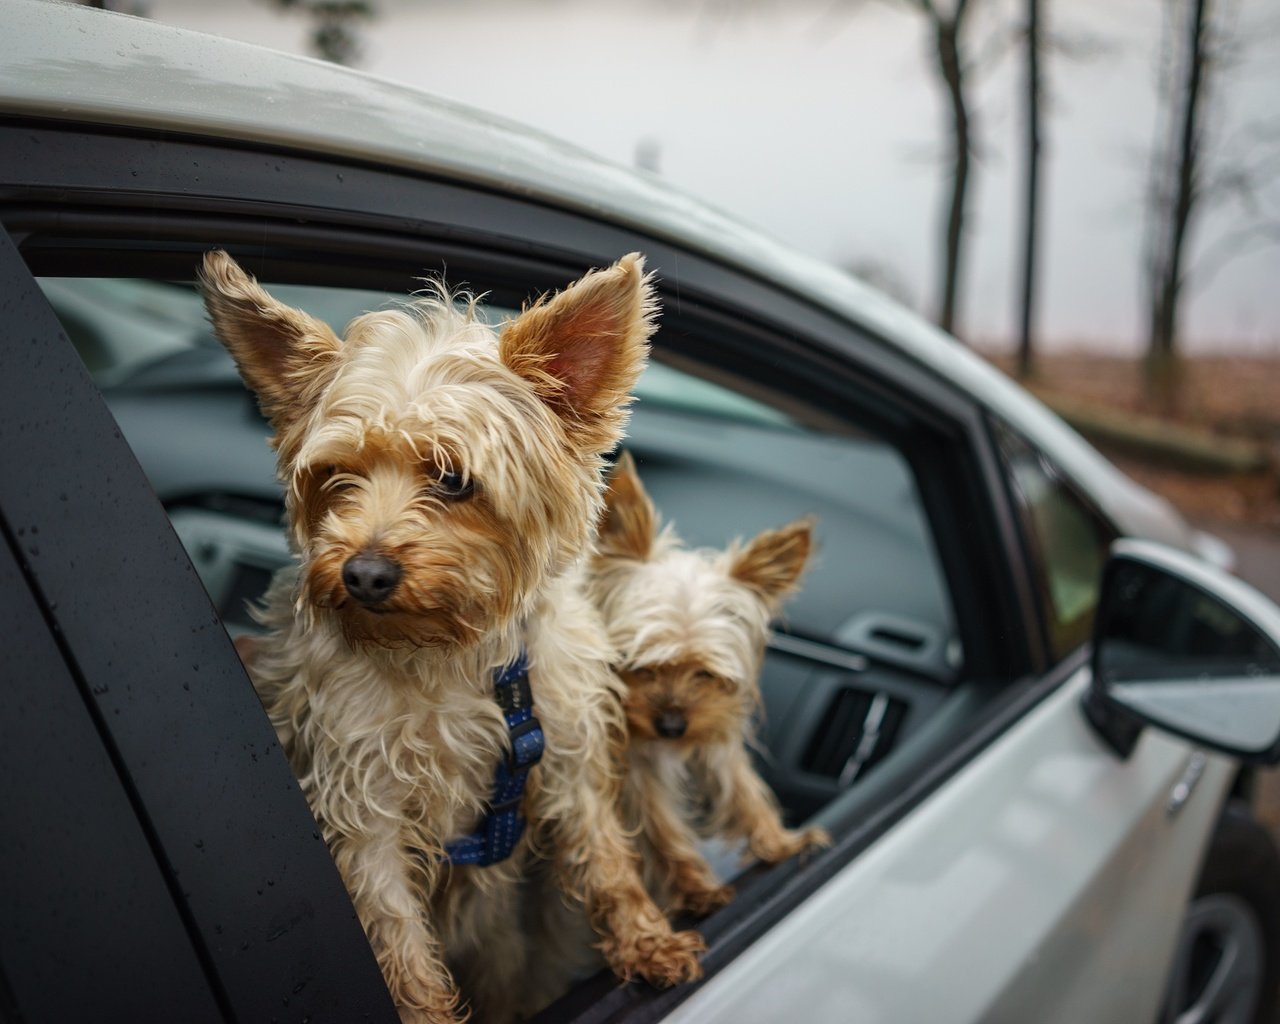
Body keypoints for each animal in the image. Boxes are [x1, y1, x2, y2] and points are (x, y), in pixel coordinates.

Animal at [588, 453, 829, 916]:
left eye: (706, 675)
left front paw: (781, 844)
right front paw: (697, 890)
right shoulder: (633, 756)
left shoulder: (716, 726)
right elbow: (660, 824)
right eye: (638, 667)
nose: (671, 727)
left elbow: (742, 788)